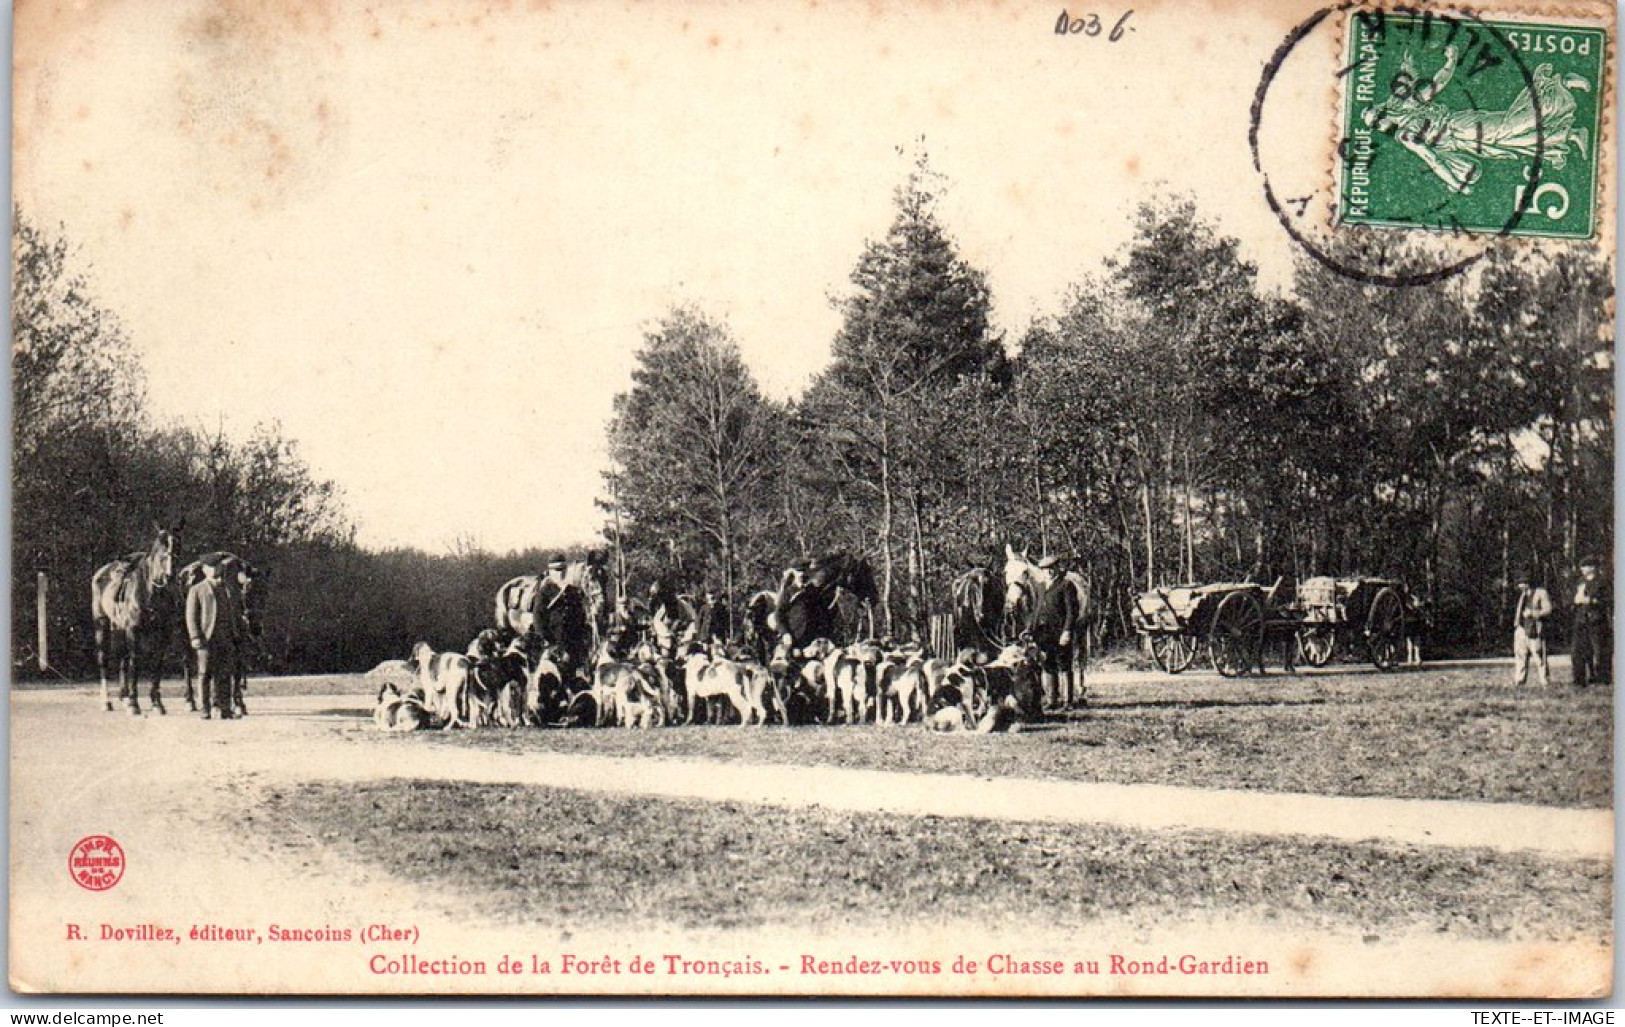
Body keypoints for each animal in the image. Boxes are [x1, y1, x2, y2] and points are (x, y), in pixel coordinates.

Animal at [90, 520, 182, 715]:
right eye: (160, 546)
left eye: (177, 543)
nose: (169, 575)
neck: (152, 591)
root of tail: (101, 572)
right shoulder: (134, 630)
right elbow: (135, 662)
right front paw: (134, 703)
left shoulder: (164, 633)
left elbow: (157, 663)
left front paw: (157, 702)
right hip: (102, 626)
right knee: (104, 661)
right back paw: (106, 701)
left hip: (119, 628)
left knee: (122, 660)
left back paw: (124, 697)